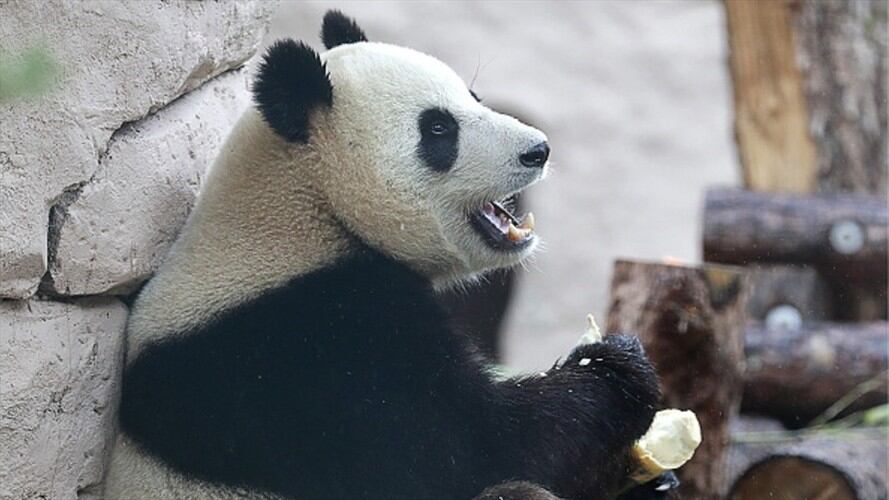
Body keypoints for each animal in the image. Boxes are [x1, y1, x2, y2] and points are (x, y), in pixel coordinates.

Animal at [104, 10, 668, 500]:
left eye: (474, 96)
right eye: (438, 129)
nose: (538, 150)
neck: (309, 209)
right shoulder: (311, 350)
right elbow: (473, 450)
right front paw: (617, 367)